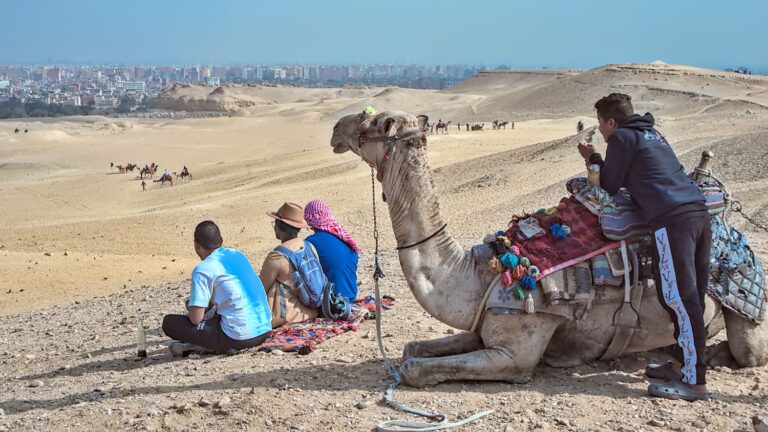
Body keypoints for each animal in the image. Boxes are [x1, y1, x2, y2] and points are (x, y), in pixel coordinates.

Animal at [330, 110, 768, 388]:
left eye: (371, 121)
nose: (335, 127)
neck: (484, 271)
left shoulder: (516, 353)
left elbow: (413, 369)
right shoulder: (483, 327)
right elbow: (411, 349)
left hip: (742, 307)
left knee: (749, 352)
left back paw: (710, 357)